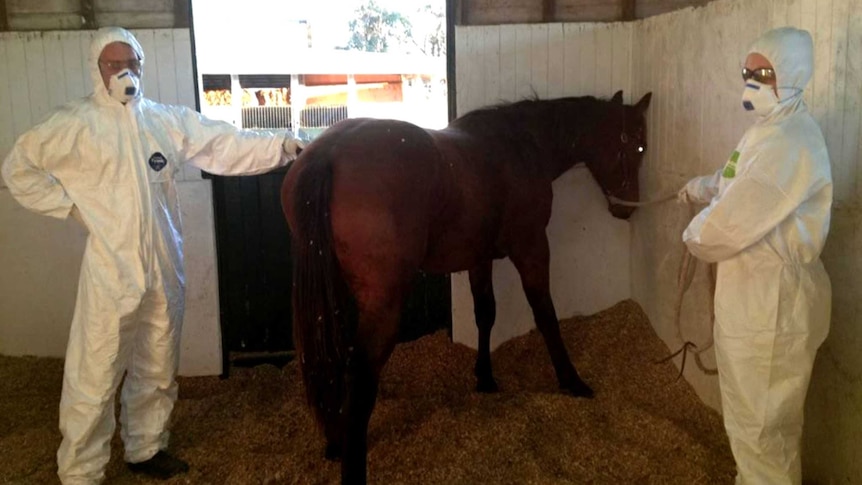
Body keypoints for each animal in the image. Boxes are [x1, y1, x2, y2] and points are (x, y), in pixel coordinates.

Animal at [284, 90, 656, 480]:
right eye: (639, 146)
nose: (628, 208)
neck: (520, 145)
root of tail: (328, 153)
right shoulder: (532, 248)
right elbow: (546, 316)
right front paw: (571, 380)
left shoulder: (479, 258)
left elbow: (486, 314)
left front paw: (485, 378)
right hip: (382, 304)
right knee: (361, 373)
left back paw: (334, 440)